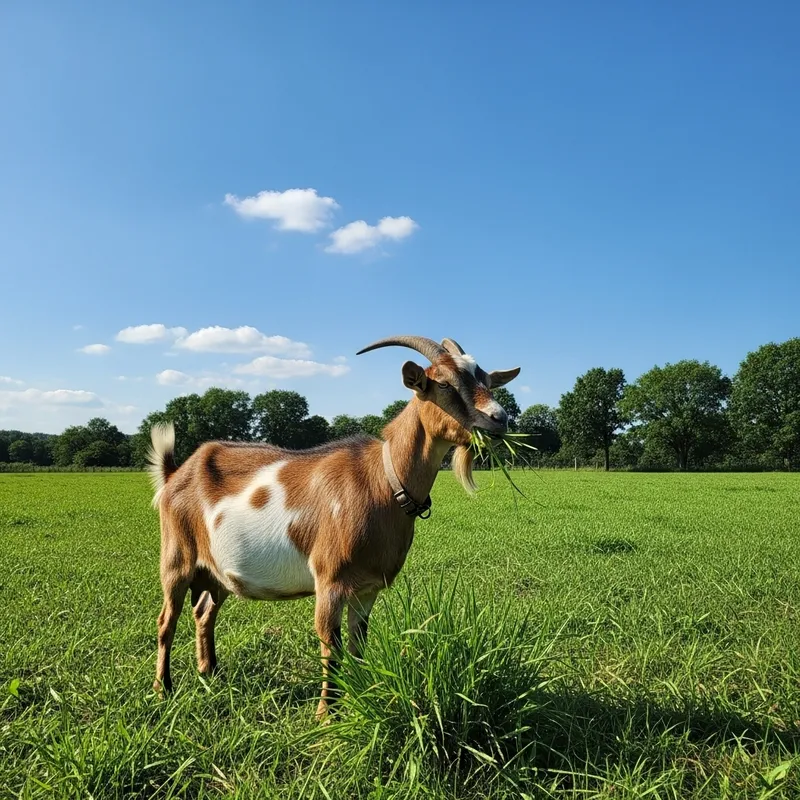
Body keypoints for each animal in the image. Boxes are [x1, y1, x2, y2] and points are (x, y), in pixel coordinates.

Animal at [148, 335, 520, 718]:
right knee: (166, 620)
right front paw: (326, 715)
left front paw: (359, 697)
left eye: (486, 380)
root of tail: (175, 474)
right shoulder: (330, 580)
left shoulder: (367, 588)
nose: (499, 419)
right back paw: (163, 689)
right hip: (176, 559)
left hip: (216, 570)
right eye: (443, 384)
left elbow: (358, 645)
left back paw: (210, 673)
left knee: (204, 613)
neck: (384, 481)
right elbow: (331, 645)